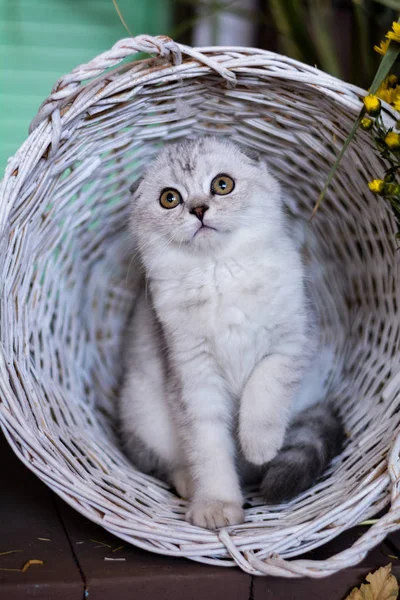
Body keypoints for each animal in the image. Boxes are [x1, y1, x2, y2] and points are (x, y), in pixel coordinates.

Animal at [119, 137, 344, 528]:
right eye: (169, 198)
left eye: (222, 185)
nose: (198, 209)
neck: (218, 271)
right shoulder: (193, 375)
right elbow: (208, 450)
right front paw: (216, 506)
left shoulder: (290, 342)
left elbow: (263, 394)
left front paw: (259, 446)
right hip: (142, 413)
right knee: (166, 462)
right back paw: (188, 485)